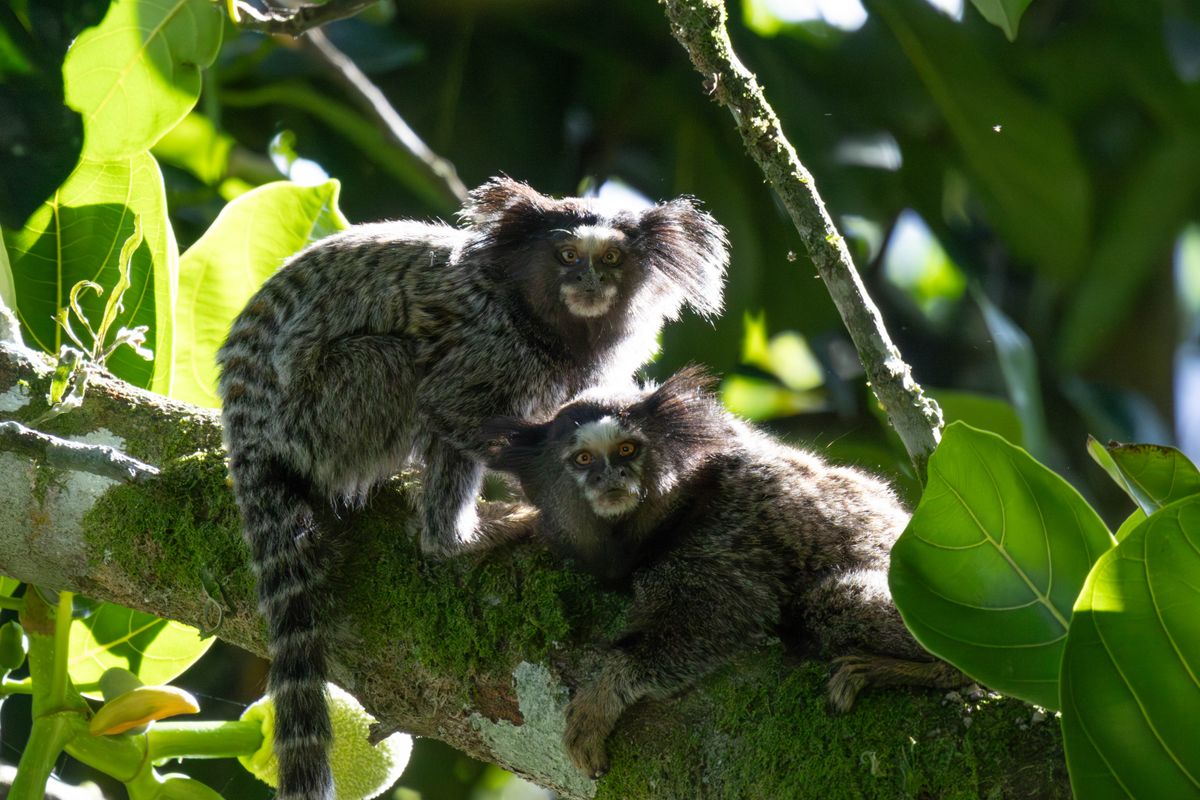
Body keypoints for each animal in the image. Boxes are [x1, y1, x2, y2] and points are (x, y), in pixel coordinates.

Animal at [216, 178, 728, 800]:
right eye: (566, 256)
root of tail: (247, 432)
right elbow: (453, 409)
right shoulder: (492, 347)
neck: (533, 315)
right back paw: (459, 537)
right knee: (401, 370)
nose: (588, 281)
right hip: (328, 410)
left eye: (611, 259)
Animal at [482, 368, 969, 778]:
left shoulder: (723, 534)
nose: (611, 477)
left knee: (833, 601)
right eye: (583, 459)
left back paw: (926, 671)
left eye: (627, 449)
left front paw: (607, 689)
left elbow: (715, 617)